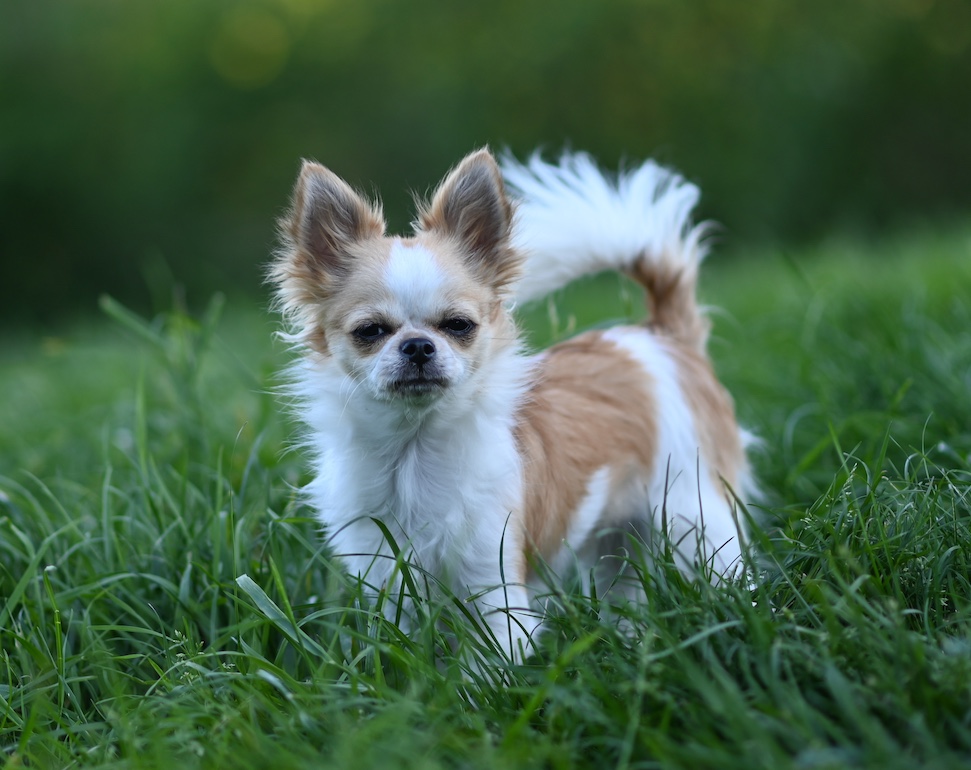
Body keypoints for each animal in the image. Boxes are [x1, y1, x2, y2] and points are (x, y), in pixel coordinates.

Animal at [270, 147, 756, 656]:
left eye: (459, 325)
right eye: (370, 331)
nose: (418, 346)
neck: (413, 449)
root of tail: (661, 336)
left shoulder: (492, 581)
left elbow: (489, 660)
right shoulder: (386, 579)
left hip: (693, 514)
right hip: (620, 538)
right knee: (625, 590)